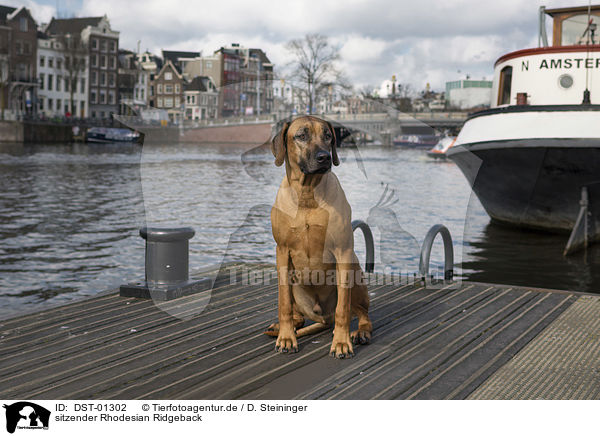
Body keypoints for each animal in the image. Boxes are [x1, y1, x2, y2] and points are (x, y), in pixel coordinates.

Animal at [266, 115, 370, 358]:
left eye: (328, 135)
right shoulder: (281, 251)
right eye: (301, 136)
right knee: (297, 314)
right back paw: (282, 327)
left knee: (361, 313)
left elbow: (343, 308)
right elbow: (283, 302)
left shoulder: (343, 251)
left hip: (355, 272)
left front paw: (341, 343)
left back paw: (360, 332)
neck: (307, 195)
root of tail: (323, 318)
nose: (325, 157)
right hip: (296, 286)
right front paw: (287, 338)